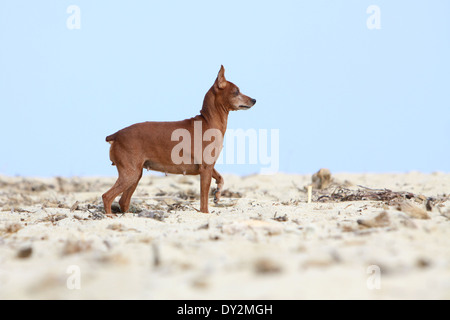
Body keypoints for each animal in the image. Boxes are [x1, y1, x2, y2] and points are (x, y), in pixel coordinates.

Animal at [103, 65, 256, 215]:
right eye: (236, 91)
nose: (254, 100)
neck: (208, 121)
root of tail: (116, 135)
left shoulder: (209, 167)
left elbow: (220, 178)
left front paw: (218, 194)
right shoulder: (205, 169)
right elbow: (204, 204)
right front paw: (206, 213)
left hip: (136, 174)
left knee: (123, 201)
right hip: (130, 174)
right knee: (107, 196)